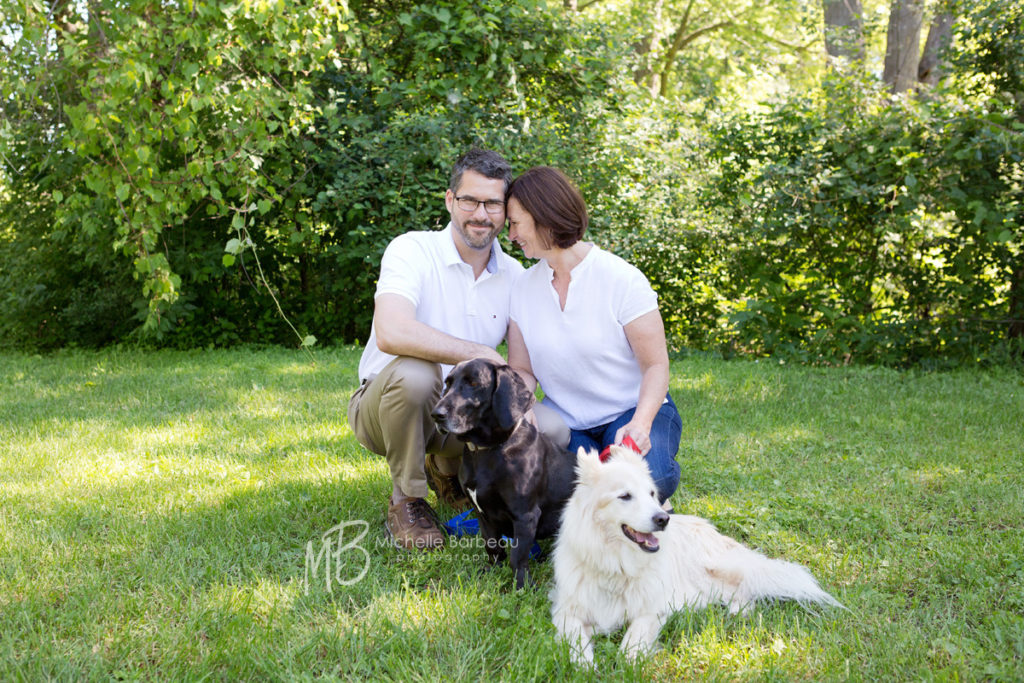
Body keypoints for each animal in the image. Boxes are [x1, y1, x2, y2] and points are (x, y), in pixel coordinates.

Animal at [430, 358, 577, 589]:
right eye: (448, 383)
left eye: (473, 383)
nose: (436, 414)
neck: (487, 451)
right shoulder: (481, 513)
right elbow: (493, 546)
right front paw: (492, 571)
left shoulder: (525, 516)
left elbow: (517, 556)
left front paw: (522, 586)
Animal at [552, 446, 839, 663]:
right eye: (624, 496)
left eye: (651, 494)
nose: (663, 519)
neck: (616, 564)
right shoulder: (566, 612)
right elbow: (576, 640)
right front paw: (585, 665)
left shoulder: (651, 611)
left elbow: (632, 640)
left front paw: (628, 660)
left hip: (717, 569)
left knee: (747, 588)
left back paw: (737, 612)